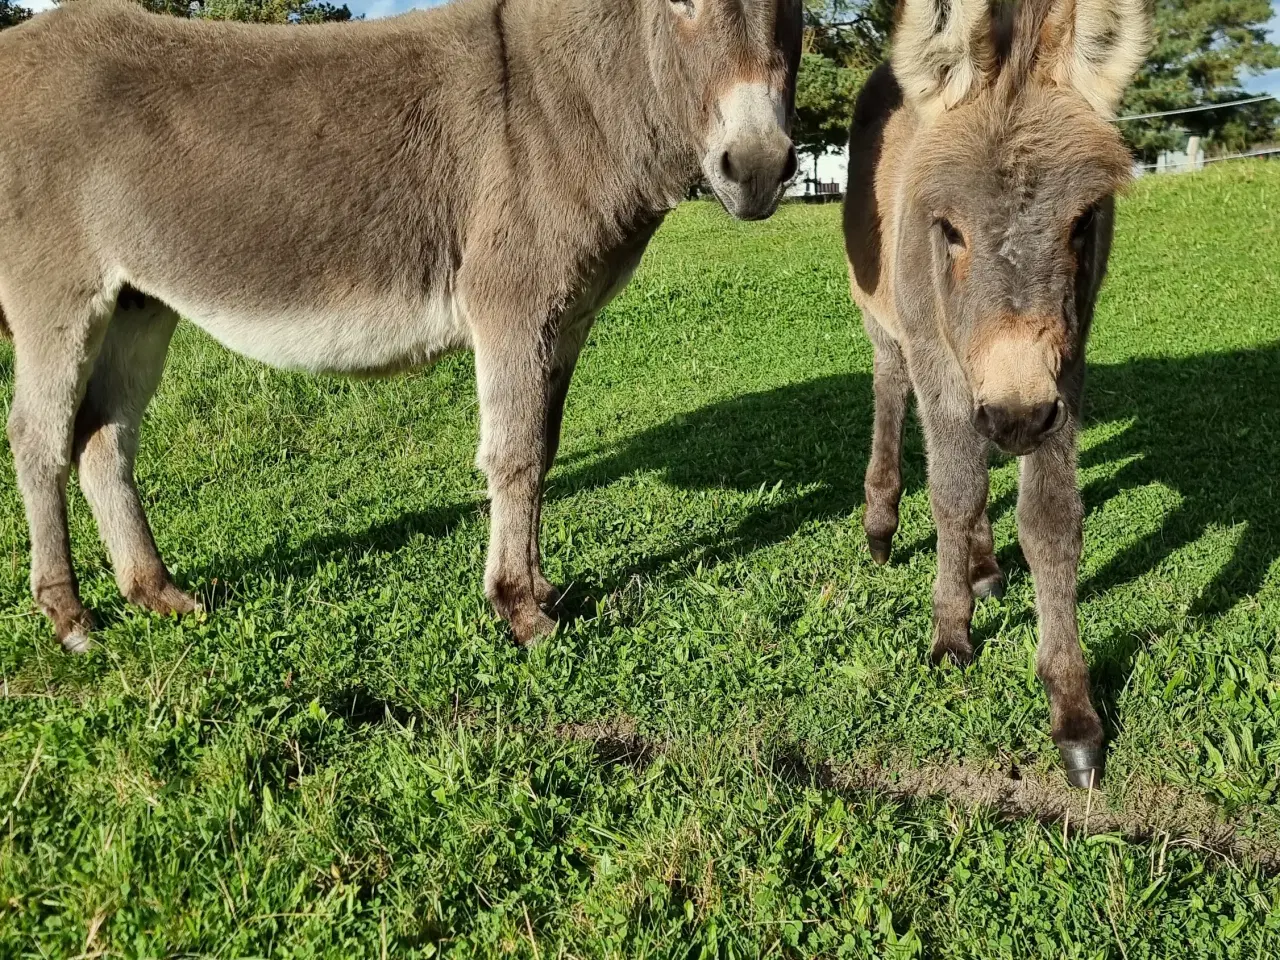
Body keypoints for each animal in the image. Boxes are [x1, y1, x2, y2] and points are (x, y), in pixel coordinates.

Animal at [0, 0, 798, 655]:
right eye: (684, 2)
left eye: (790, 3)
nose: (759, 168)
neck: (576, 98)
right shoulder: (513, 303)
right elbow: (514, 456)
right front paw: (519, 610)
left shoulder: (567, 317)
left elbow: (542, 449)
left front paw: (540, 587)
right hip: (58, 296)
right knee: (38, 441)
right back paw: (70, 618)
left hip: (138, 301)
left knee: (103, 439)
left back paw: (157, 592)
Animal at [844, 0, 1157, 788]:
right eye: (948, 230)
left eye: (1083, 223)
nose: (1015, 414)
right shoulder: (943, 365)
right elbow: (953, 495)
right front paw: (951, 632)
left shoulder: (1064, 374)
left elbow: (1050, 521)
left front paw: (1073, 712)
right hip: (887, 324)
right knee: (890, 389)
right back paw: (883, 525)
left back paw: (985, 564)